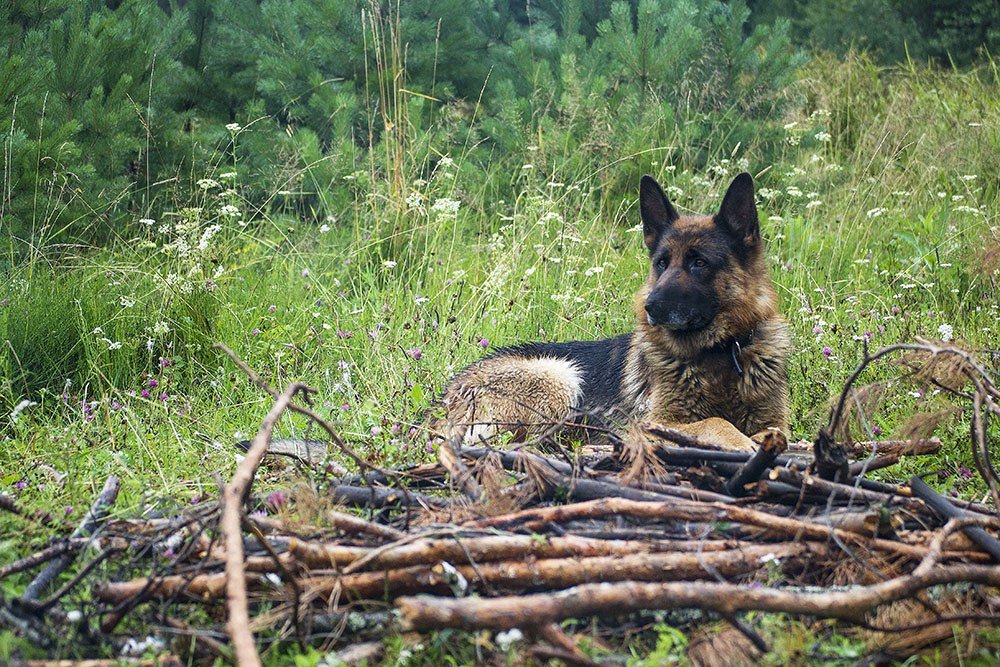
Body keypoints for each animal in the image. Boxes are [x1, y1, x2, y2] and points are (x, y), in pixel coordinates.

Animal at [432, 175, 788, 452]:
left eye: (699, 263)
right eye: (661, 263)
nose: (649, 308)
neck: (719, 353)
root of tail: (444, 400)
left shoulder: (775, 421)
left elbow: (773, 431)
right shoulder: (652, 423)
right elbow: (715, 421)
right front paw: (741, 441)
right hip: (559, 377)